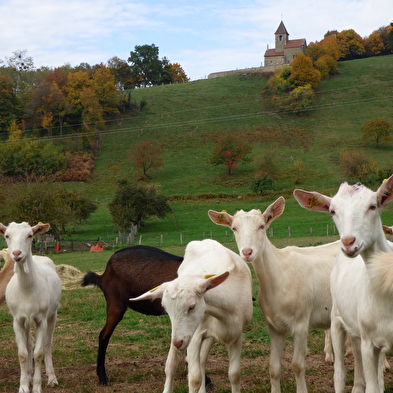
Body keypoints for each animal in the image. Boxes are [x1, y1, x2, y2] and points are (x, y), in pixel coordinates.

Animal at [1, 220, 62, 392]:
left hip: (52, 314)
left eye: (30, 235)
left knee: (48, 344)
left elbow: (39, 353)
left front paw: (36, 387)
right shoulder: (17, 319)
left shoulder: (41, 318)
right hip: (26, 321)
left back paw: (52, 378)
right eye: (7, 235)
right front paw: (23, 386)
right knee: (28, 345)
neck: (27, 290)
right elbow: (23, 353)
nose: (16, 253)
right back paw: (28, 375)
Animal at [129, 239, 251, 392]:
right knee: (171, 365)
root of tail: (202, 241)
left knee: (202, 361)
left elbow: (234, 374)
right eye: (166, 309)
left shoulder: (237, 335)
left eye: (192, 306)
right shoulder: (194, 336)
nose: (178, 343)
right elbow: (194, 379)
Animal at [208, 196, 340, 392]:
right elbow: (274, 367)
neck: (280, 276)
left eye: (262, 226)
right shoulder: (274, 326)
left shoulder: (301, 323)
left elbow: (297, 365)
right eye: (234, 228)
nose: (247, 252)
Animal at [292, 175, 392, 392]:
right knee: (340, 373)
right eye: (333, 211)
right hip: (337, 318)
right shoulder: (369, 342)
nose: (348, 242)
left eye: (373, 206)